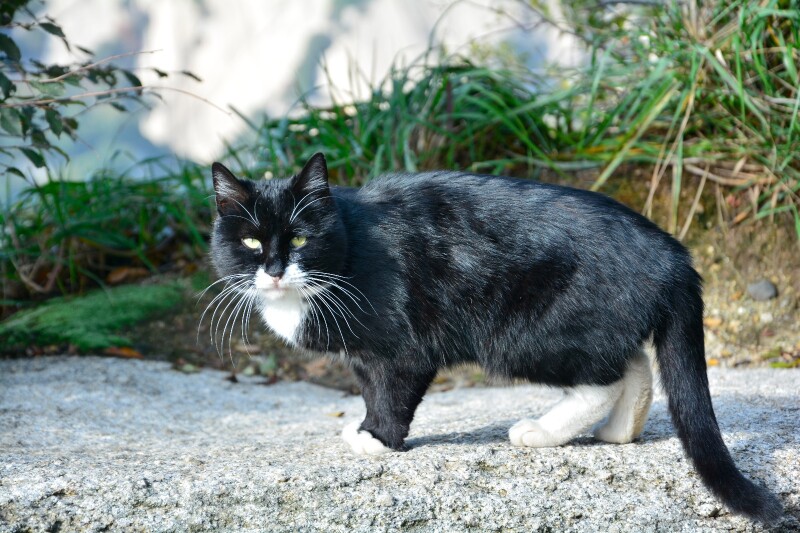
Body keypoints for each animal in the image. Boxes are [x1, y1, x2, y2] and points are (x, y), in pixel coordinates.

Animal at [206, 152, 780, 520]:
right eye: (252, 241)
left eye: (301, 238)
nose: (274, 270)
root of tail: (673, 253)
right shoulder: (363, 355)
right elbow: (369, 389)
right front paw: (369, 429)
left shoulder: (400, 345)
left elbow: (390, 393)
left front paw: (378, 440)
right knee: (632, 363)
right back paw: (619, 432)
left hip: (527, 335)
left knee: (607, 377)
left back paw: (542, 432)